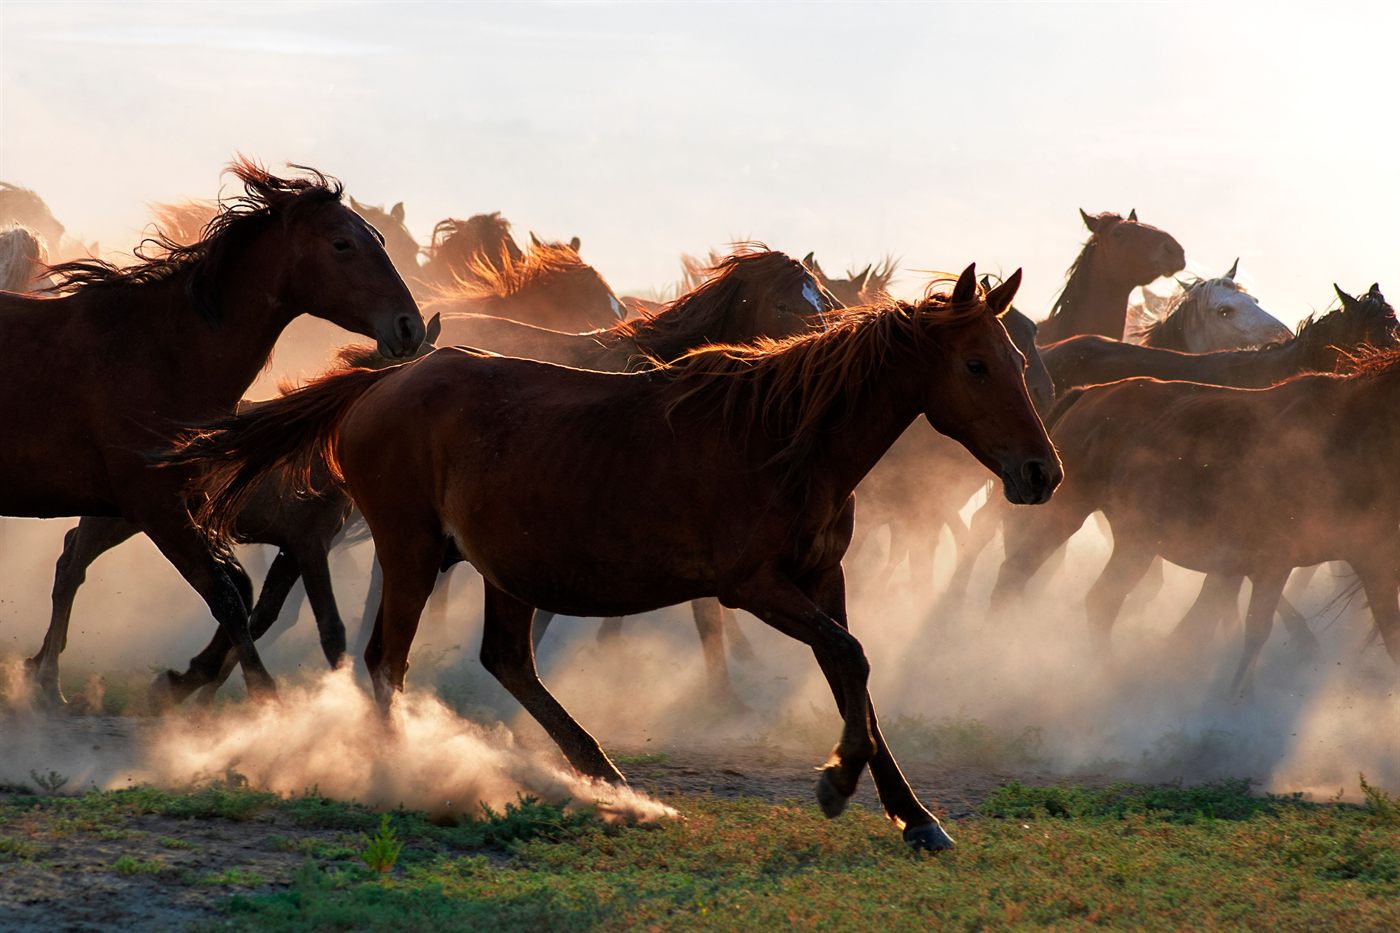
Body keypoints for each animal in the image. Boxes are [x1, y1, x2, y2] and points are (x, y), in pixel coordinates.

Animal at [13, 159, 424, 705]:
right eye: (342, 244)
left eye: (379, 237)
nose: (408, 326)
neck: (159, 350)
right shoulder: (184, 513)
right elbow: (248, 604)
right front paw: (254, 699)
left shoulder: (244, 529)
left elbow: (252, 603)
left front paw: (194, 682)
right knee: (72, 561)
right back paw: (49, 678)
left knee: (72, 559)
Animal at [166, 264, 1060, 851]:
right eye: (977, 363)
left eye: (1016, 361)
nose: (1040, 472)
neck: (782, 439)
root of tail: (385, 380)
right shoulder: (754, 586)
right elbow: (849, 659)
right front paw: (837, 784)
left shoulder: (823, 579)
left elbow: (854, 674)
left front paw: (915, 814)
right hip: (414, 550)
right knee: (387, 659)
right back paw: (404, 774)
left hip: (500, 566)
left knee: (505, 658)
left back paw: (606, 778)